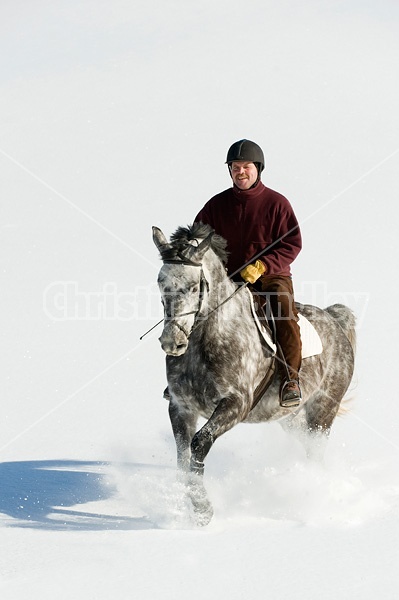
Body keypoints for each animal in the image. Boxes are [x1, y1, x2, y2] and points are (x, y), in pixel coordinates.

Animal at [153, 223, 356, 524]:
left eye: (193, 287)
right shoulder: (180, 407)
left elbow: (200, 444)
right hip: (289, 418)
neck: (207, 342)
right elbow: (182, 454)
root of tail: (335, 320)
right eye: (160, 282)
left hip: (322, 411)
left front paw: (203, 509)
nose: (172, 342)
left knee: (316, 450)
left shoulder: (236, 405)